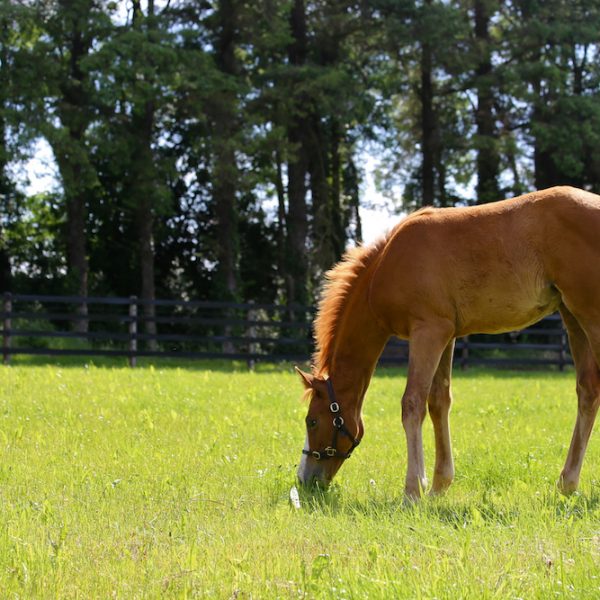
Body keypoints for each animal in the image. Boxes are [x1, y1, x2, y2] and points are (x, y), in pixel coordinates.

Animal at [296, 185, 600, 500]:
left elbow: (413, 403)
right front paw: (438, 486)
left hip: (590, 316)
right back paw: (568, 482)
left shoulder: (427, 332)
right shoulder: (446, 335)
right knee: (588, 391)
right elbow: (438, 402)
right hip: (573, 316)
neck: (386, 265)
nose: (304, 479)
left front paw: (413, 490)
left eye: (312, 421)